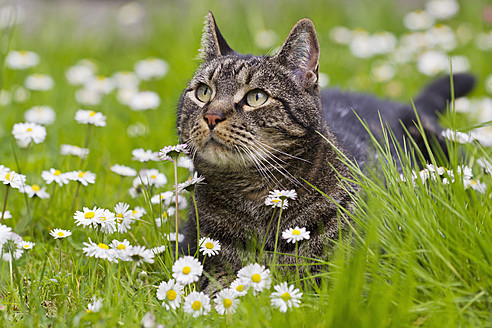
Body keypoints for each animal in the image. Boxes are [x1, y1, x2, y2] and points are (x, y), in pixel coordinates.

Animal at [176, 11, 472, 288]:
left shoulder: (358, 271)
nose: (212, 116)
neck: (255, 200)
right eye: (203, 92)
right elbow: (218, 290)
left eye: (256, 97)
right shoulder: (199, 253)